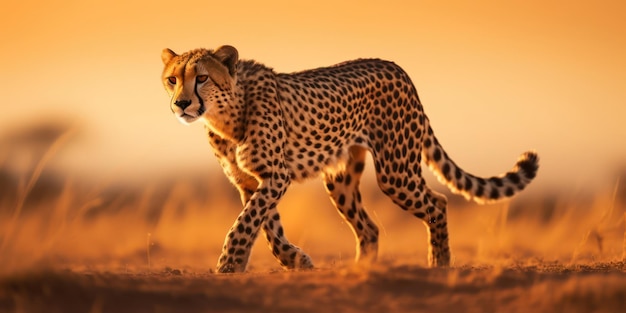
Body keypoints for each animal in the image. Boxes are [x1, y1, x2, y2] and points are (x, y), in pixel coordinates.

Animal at [160, 45, 536, 272]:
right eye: (172, 79)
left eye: (202, 78)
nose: (181, 104)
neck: (226, 115)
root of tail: (398, 68)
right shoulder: (249, 182)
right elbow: (266, 226)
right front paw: (295, 259)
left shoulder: (274, 176)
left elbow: (247, 222)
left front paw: (229, 264)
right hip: (340, 179)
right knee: (368, 227)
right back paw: (363, 272)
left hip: (396, 171)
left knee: (438, 203)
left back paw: (439, 264)